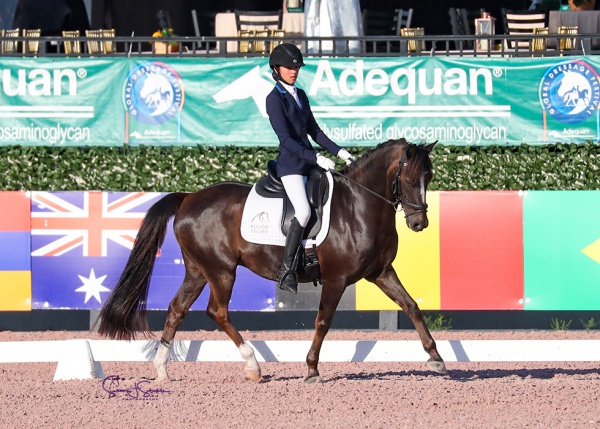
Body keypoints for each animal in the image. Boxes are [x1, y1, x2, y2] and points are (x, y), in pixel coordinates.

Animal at [97, 139, 446, 382]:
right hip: (221, 271)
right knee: (217, 311)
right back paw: (252, 365)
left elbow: (412, 307)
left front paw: (436, 357)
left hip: (198, 271)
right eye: (410, 178)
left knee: (176, 310)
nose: (419, 223)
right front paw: (311, 369)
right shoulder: (336, 279)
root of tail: (188, 197)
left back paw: (162, 370)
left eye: (430, 177)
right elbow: (323, 321)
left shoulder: (381, 272)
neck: (360, 206)